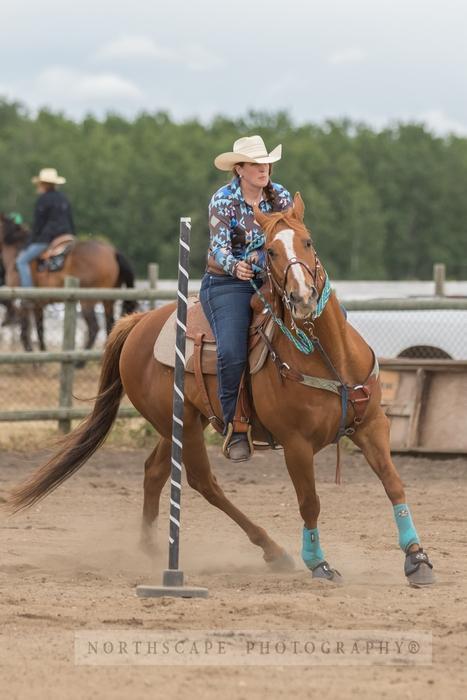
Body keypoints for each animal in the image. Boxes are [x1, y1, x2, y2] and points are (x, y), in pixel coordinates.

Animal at [0, 213, 135, 352]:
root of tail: (113, 252)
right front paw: (42, 351)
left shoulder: (24, 302)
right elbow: (39, 330)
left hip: (87, 301)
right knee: (110, 326)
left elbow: (24, 332)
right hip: (108, 301)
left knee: (94, 328)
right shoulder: (38, 305)